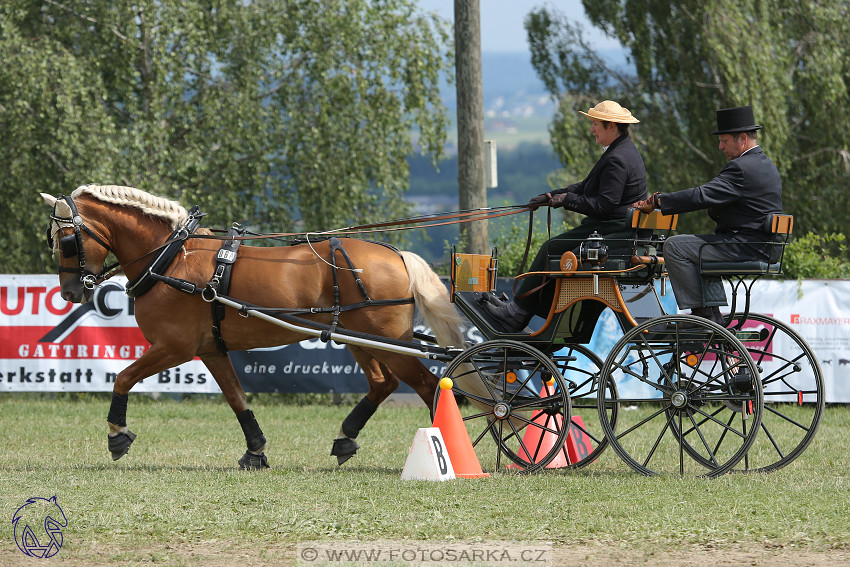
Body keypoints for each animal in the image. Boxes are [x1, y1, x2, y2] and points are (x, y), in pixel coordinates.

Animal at [39, 186, 464, 470]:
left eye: (66, 239)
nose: (70, 291)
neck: (173, 258)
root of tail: (396, 254)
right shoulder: (209, 348)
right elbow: (236, 398)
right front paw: (255, 450)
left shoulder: (173, 347)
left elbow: (124, 377)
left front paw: (117, 435)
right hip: (359, 338)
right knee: (383, 383)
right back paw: (345, 440)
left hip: (387, 341)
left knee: (428, 384)